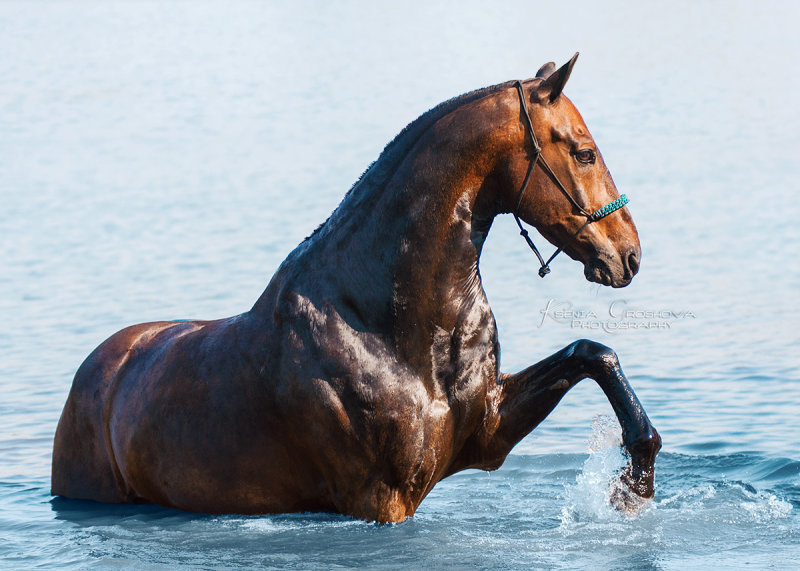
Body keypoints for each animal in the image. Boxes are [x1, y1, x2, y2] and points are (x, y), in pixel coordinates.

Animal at [51, 55, 664, 524]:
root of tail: (97, 369)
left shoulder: (487, 432)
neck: (391, 327)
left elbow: (593, 353)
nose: (629, 253)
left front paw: (634, 484)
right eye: (583, 151)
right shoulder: (381, 501)